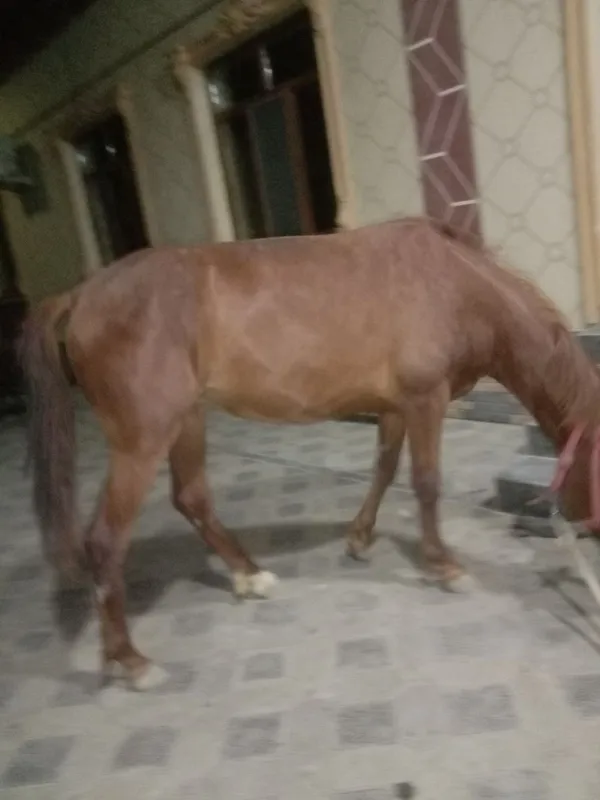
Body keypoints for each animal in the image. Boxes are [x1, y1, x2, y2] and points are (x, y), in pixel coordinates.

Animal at [19, 215, 600, 690]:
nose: (586, 535)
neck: (453, 284)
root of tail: (80, 295)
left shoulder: (396, 406)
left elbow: (384, 469)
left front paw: (360, 538)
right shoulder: (425, 399)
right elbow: (426, 484)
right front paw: (444, 566)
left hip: (187, 420)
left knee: (192, 499)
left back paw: (248, 576)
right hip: (144, 438)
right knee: (105, 540)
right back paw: (130, 660)